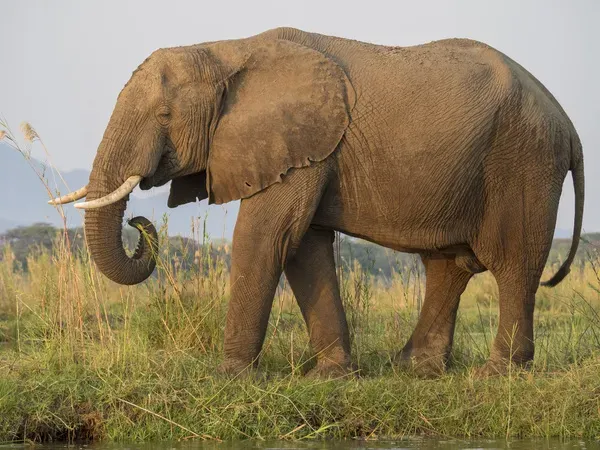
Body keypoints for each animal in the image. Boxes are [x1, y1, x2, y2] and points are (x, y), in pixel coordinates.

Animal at [51, 27, 584, 376]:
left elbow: (266, 237)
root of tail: (568, 123)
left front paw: (230, 377)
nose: (139, 223)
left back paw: (499, 373)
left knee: (513, 262)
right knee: (447, 265)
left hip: (525, 159)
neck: (225, 50)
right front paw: (330, 377)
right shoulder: (303, 148)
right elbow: (304, 246)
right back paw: (415, 369)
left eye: (164, 114)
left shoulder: (295, 142)